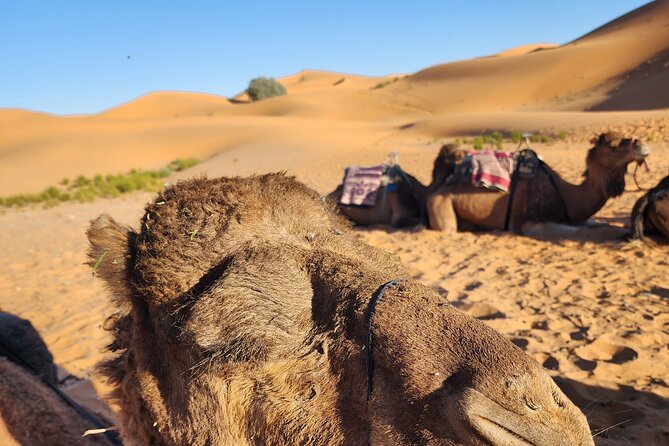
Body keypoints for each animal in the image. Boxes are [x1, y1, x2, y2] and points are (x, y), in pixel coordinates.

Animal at [426, 132, 650, 234]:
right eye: (612, 146)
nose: (642, 145)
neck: (565, 193)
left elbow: (593, 223)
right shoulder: (530, 222)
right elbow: (575, 230)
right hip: (440, 206)